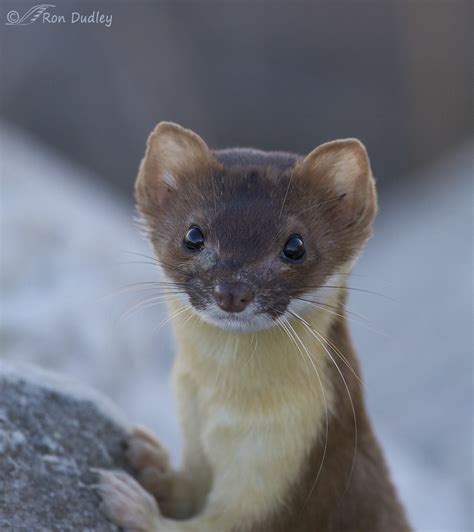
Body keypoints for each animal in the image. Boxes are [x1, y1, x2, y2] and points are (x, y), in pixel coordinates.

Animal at [97, 122, 412, 528]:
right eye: (193, 235)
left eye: (295, 246)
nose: (232, 291)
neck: (222, 408)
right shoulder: (193, 426)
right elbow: (190, 486)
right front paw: (152, 461)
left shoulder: (294, 471)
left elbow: (210, 525)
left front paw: (133, 503)